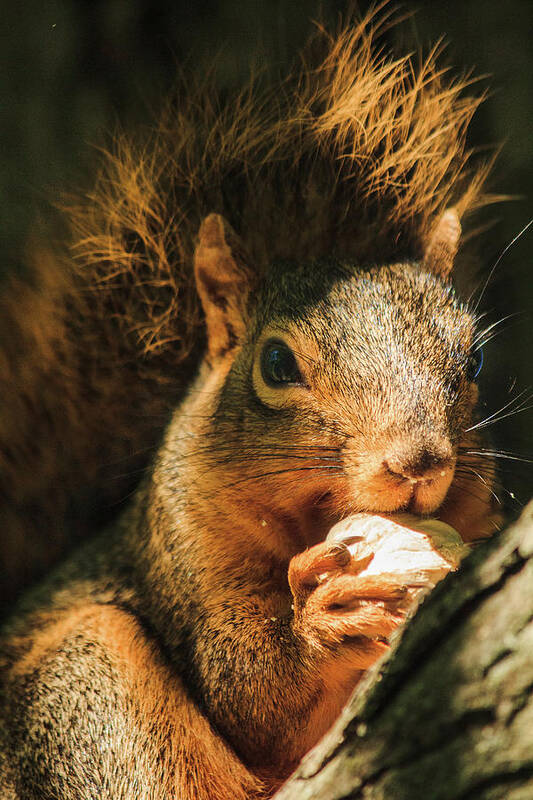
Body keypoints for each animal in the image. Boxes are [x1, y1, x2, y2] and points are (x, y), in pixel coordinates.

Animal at [0, 7, 500, 800]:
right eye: (274, 364)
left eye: (474, 357)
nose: (419, 462)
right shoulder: (183, 556)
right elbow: (248, 696)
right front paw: (321, 622)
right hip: (81, 682)